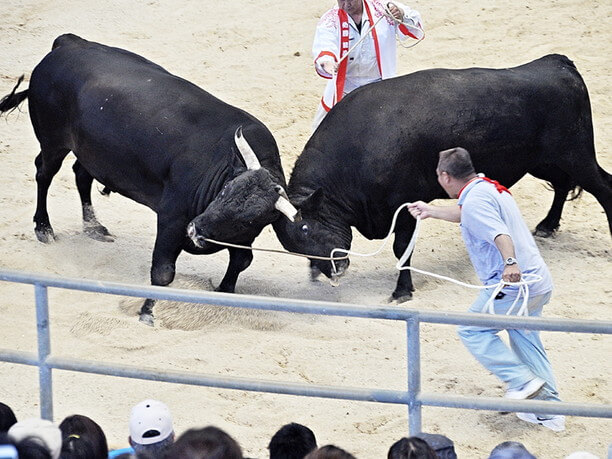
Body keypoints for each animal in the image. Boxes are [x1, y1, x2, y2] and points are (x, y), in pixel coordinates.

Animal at [0, 34, 298, 326]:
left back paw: (94, 227)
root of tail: (69, 42)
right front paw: (147, 312)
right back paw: (44, 228)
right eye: (225, 192)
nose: (196, 229)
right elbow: (163, 271)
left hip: (92, 151)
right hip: (53, 141)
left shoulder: (242, 238)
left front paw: (223, 292)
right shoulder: (172, 218)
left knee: (81, 175)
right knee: (44, 174)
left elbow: (241, 261)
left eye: (247, 220)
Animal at [274, 54, 608, 302]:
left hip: (576, 155)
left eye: (306, 228)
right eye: (295, 242)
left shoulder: (403, 205)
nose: (335, 270)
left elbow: (402, 249)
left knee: (604, 188)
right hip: (544, 161)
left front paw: (402, 291)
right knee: (563, 184)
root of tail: (557, 63)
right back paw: (548, 225)